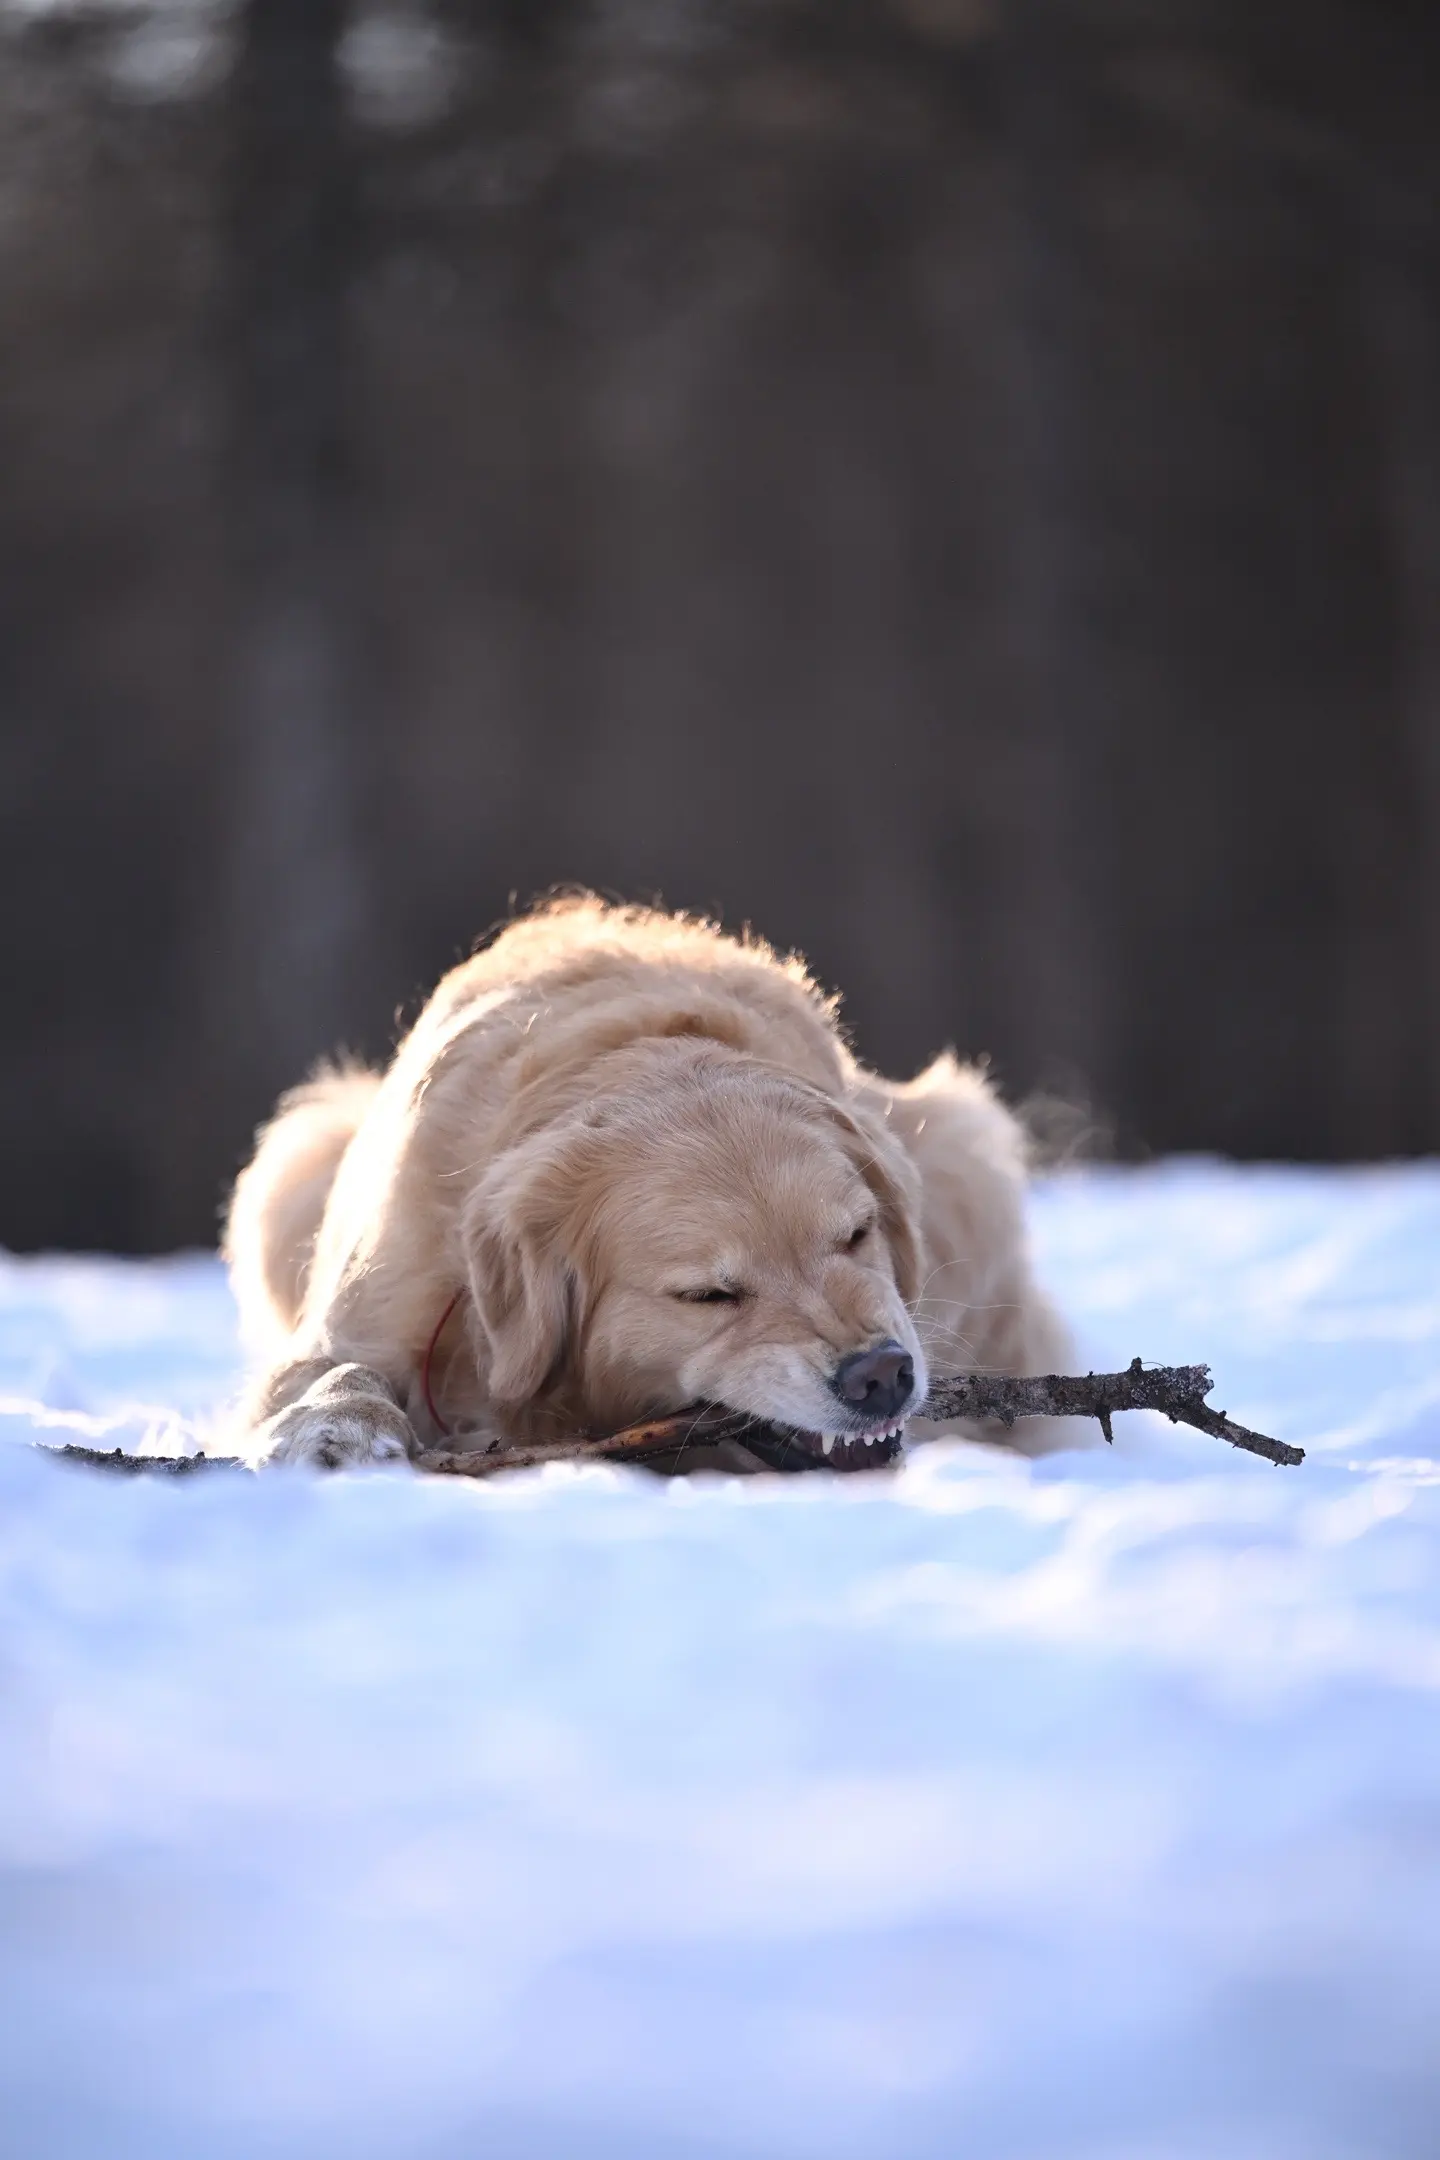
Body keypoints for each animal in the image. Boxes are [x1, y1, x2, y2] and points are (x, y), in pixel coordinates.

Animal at [227, 894, 1070, 1468]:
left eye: (857, 1236)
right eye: (709, 1296)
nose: (882, 1374)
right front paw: (338, 1426)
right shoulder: (373, 1303)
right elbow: (333, 1369)